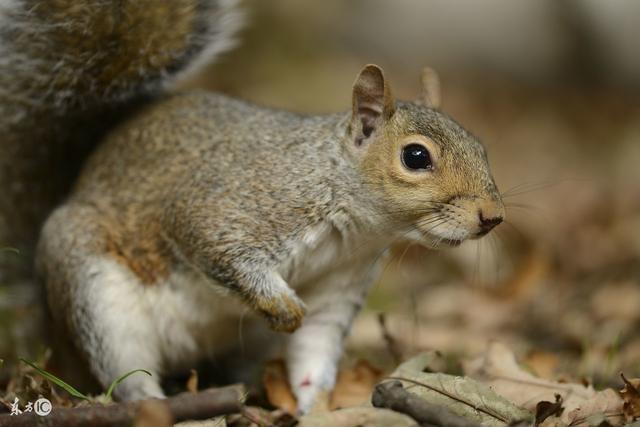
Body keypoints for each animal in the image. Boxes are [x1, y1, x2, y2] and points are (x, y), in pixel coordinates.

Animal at [2, 0, 508, 418]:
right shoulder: (229, 208)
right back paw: (151, 402)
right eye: (416, 157)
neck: (354, 226)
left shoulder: (339, 284)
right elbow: (219, 250)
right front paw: (282, 307)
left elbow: (314, 347)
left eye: (481, 147)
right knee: (124, 371)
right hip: (94, 294)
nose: (492, 216)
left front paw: (315, 405)